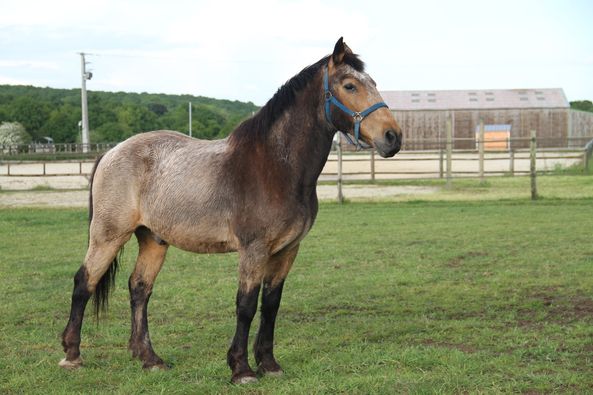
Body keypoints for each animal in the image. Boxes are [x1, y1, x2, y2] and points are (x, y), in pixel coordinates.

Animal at [59, 37, 402, 384]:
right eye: (349, 85)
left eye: (373, 83)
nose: (393, 137)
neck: (275, 166)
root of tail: (110, 153)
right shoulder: (254, 249)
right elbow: (246, 305)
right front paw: (241, 369)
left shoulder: (287, 249)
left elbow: (271, 305)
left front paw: (269, 364)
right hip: (108, 235)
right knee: (84, 283)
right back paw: (72, 355)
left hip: (153, 239)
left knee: (140, 289)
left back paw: (149, 358)